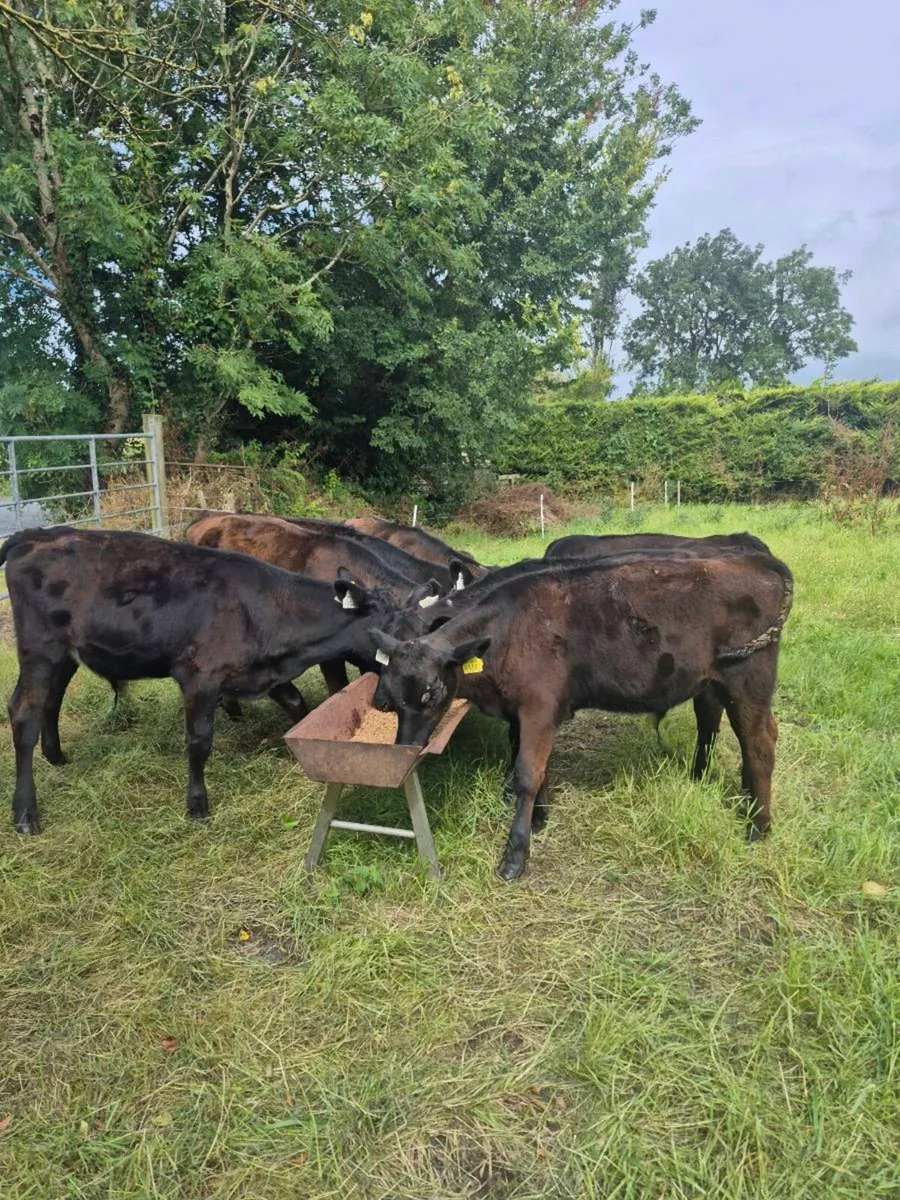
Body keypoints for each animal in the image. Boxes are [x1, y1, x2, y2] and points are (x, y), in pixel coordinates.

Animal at [2, 526, 390, 835]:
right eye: (394, 628)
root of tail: (35, 535)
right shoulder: (200, 676)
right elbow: (199, 741)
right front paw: (198, 806)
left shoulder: (261, 670)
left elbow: (297, 704)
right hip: (40, 649)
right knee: (23, 713)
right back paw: (25, 814)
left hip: (64, 655)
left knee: (51, 700)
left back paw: (56, 756)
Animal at [369, 552, 793, 880]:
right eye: (390, 681)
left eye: (432, 692)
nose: (403, 746)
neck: (507, 631)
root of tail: (754, 561)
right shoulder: (527, 713)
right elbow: (538, 767)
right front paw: (540, 818)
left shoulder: (538, 707)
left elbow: (526, 773)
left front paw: (515, 856)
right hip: (716, 681)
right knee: (720, 725)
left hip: (749, 679)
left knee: (760, 742)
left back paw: (759, 828)